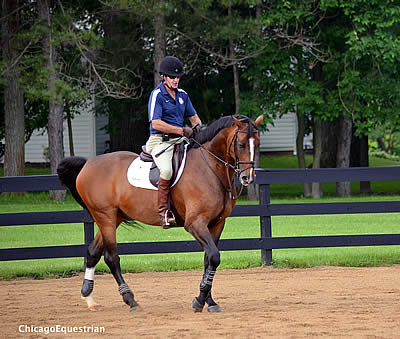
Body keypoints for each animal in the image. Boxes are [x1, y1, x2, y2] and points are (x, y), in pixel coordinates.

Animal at [56, 113, 262, 314]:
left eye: (258, 144)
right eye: (241, 144)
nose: (247, 178)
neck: (210, 168)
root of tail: (88, 164)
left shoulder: (217, 224)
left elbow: (208, 260)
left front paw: (209, 301)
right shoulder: (195, 224)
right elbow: (214, 257)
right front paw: (199, 301)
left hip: (114, 217)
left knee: (93, 252)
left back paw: (89, 297)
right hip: (104, 215)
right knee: (111, 258)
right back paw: (130, 300)